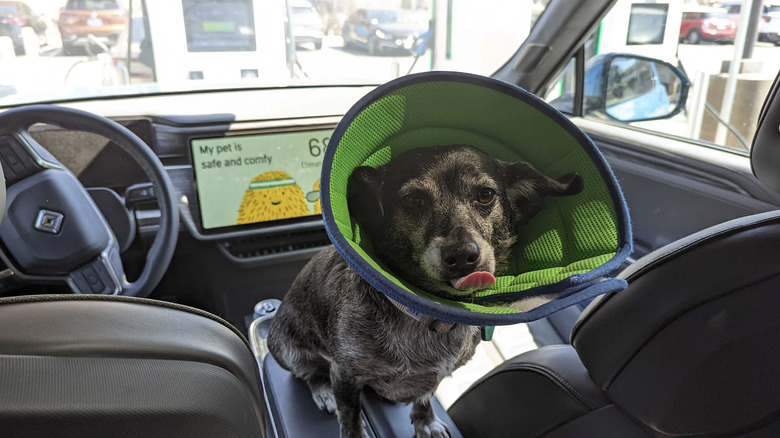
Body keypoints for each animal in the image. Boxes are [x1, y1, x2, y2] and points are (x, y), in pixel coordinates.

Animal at [266, 145, 580, 436]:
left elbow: (425, 395)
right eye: (414, 200)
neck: (427, 317)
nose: (463, 256)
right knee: (309, 372)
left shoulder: (437, 374)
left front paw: (425, 422)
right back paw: (323, 391)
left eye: (486, 194)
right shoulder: (344, 374)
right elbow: (351, 419)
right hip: (285, 348)